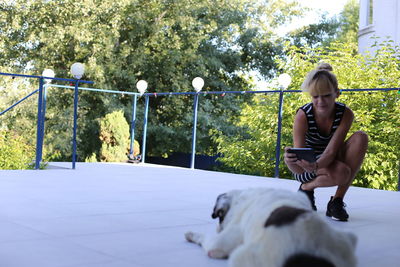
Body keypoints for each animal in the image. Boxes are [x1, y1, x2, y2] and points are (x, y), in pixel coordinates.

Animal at [184, 188, 356, 267]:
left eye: (219, 216)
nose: (219, 228)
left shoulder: (219, 244)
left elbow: (204, 237)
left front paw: (191, 234)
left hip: (240, 257)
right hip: (349, 239)